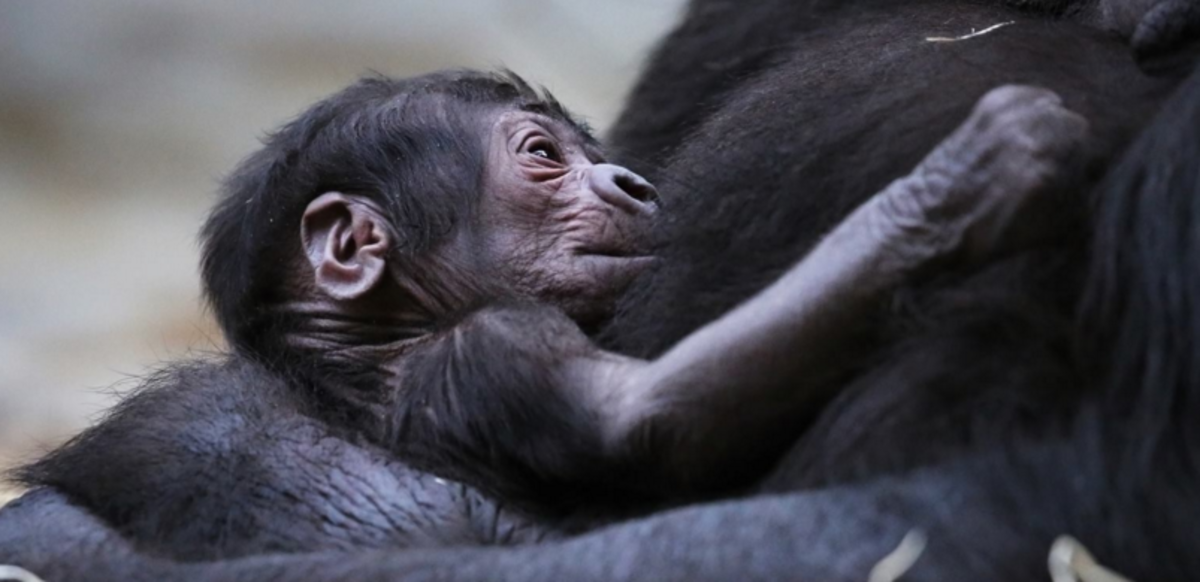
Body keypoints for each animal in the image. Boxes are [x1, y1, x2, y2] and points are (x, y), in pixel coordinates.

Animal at [204, 70, 1089, 508]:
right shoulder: (497, 348)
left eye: (591, 153)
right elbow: (650, 419)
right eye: (542, 155)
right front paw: (964, 181)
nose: (632, 182)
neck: (380, 345)